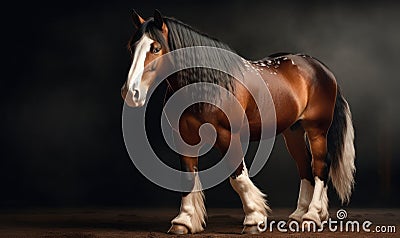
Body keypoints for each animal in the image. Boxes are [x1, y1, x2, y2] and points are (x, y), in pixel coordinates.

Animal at [120, 9, 354, 234]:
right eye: (132, 47)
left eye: (156, 48)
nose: (131, 93)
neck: (206, 85)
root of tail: (320, 67)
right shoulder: (184, 137)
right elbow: (187, 178)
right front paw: (183, 222)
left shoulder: (227, 135)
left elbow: (238, 177)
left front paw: (254, 219)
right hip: (293, 131)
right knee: (305, 167)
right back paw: (300, 215)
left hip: (317, 130)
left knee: (320, 166)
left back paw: (312, 216)